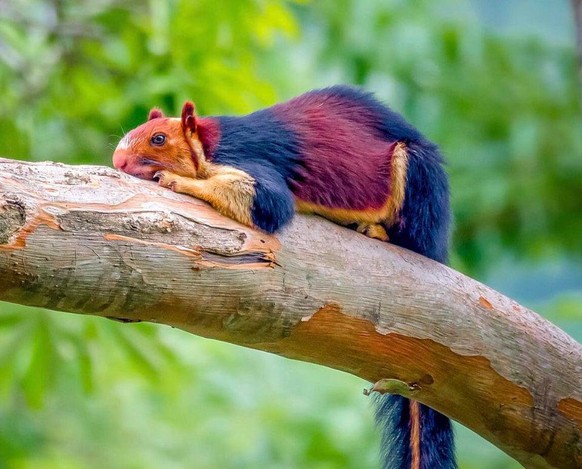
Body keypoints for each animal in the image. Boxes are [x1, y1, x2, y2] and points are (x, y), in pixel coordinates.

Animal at [113, 86, 456, 468]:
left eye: (158, 138)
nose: (118, 161)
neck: (209, 145)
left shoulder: (247, 160)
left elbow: (267, 200)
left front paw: (178, 180)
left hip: (418, 178)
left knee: (414, 239)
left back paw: (380, 232)